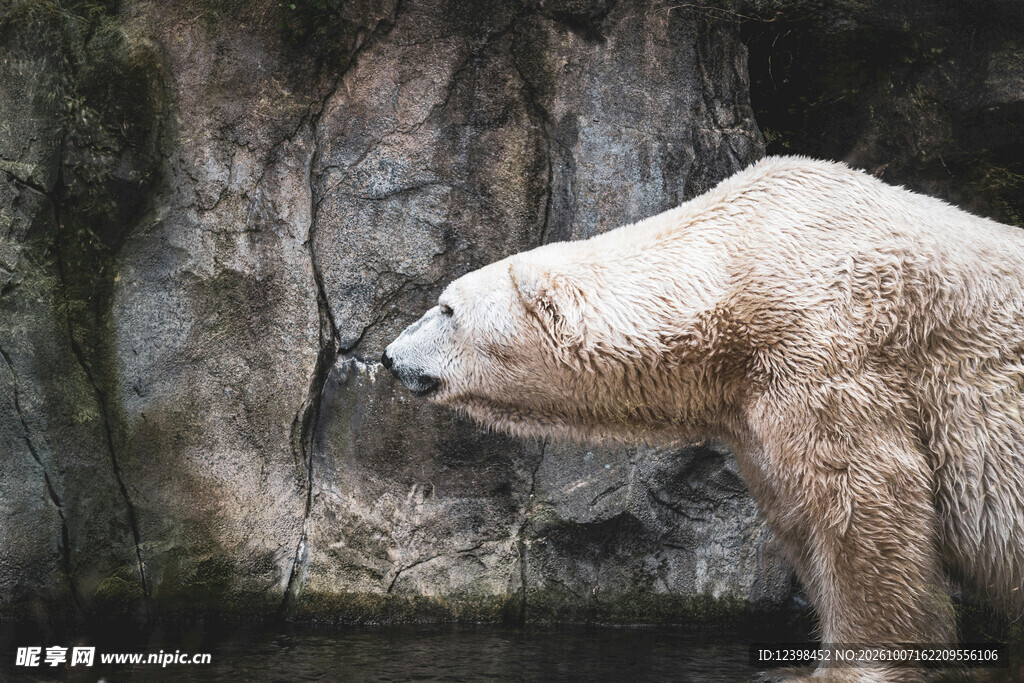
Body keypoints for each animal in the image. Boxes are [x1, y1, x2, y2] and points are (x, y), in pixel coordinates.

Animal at [382, 156, 1024, 680]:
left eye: (446, 308)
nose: (389, 356)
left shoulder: (830, 350)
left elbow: (866, 498)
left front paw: (848, 667)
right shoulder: (754, 409)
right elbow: (799, 510)